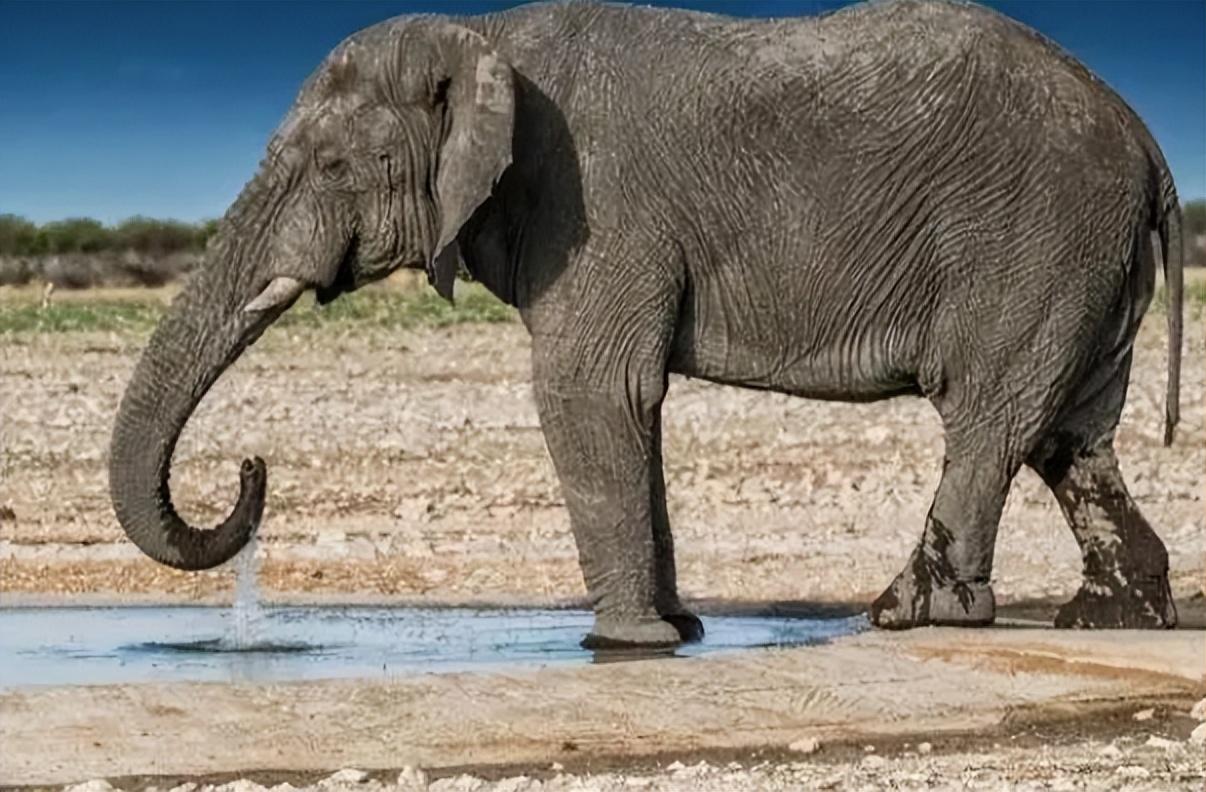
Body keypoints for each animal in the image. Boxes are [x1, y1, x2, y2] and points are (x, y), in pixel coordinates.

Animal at [108, 0, 1181, 646]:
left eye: (332, 168)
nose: (250, 467)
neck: (480, 36)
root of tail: (1147, 141)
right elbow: (629, 404)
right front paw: (679, 634)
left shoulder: (596, 206)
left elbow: (591, 390)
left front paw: (620, 645)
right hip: (1080, 258)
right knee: (1070, 438)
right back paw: (1111, 619)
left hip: (1036, 239)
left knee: (990, 418)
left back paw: (906, 616)